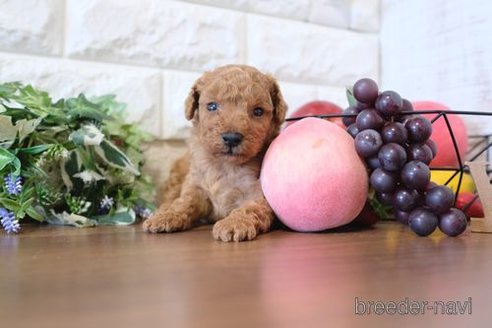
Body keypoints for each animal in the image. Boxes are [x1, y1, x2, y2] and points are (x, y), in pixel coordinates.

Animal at [142, 65, 286, 242]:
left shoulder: (258, 193)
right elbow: (184, 202)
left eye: (258, 111)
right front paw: (167, 216)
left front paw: (234, 223)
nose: (231, 138)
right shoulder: (196, 186)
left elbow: (250, 208)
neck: (226, 165)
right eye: (212, 106)